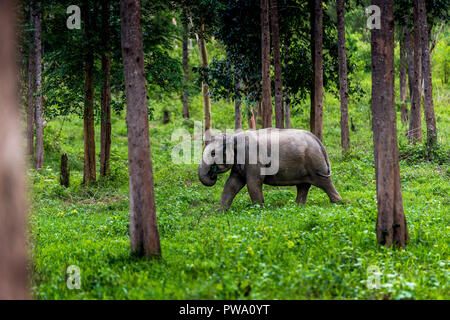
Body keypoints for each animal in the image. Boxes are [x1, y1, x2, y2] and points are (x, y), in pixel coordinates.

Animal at [197, 127, 342, 210]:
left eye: (213, 153)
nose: (213, 174)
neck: (233, 137)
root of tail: (318, 141)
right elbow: (232, 184)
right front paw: (219, 212)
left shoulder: (253, 159)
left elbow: (253, 183)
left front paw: (259, 210)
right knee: (303, 186)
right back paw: (298, 207)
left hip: (315, 162)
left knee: (325, 183)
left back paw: (339, 204)